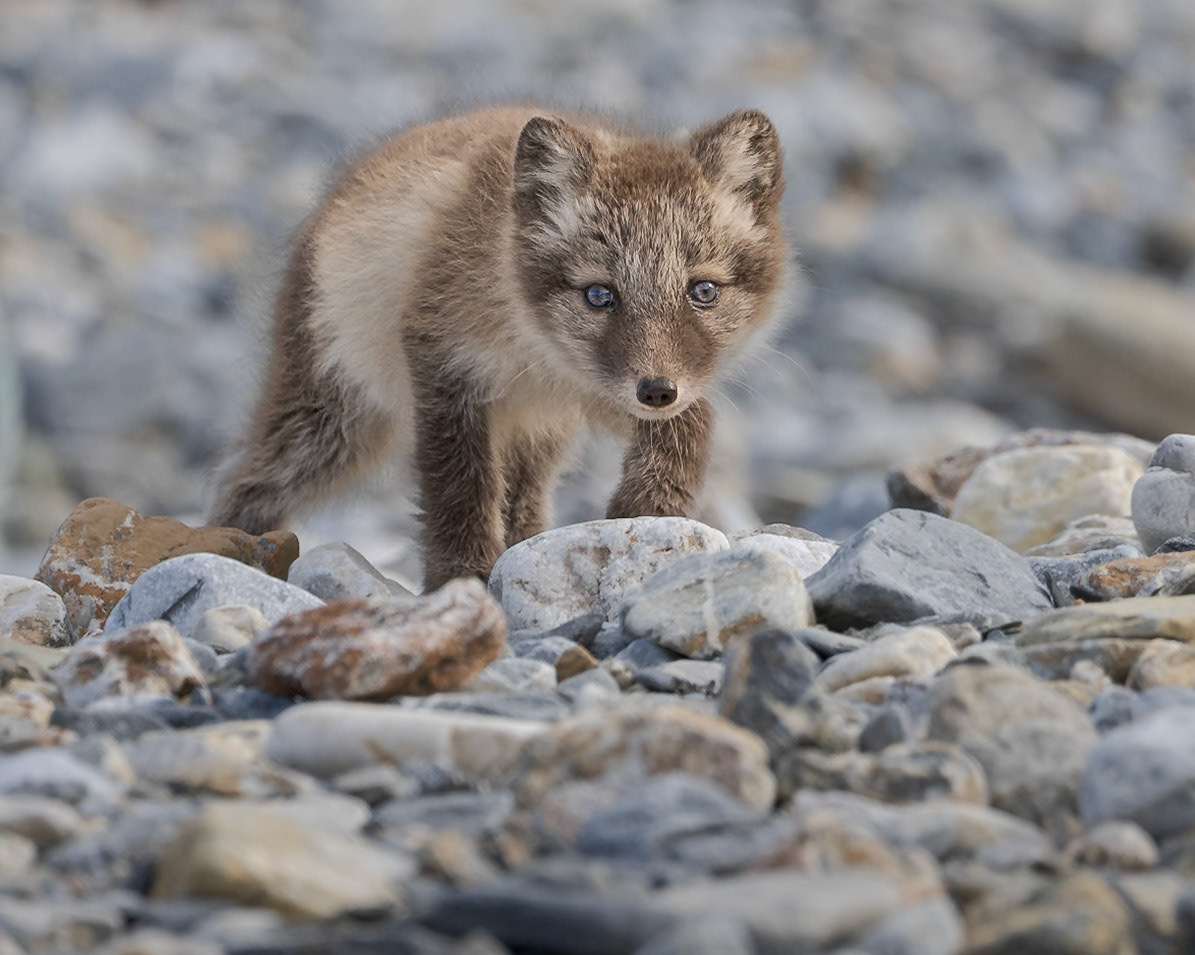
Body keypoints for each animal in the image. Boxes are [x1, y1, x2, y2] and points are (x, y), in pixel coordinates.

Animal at [209, 105, 792, 592]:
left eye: (703, 291)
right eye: (599, 294)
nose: (656, 392)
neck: (529, 341)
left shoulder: (599, 386)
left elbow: (692, 424)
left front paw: (644, 509)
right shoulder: (445, 370)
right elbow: (459, 486)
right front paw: (462, 577)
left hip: (537, 433)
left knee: (524, 499)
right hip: (330, 425)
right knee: (250, 483)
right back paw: (230, 549)